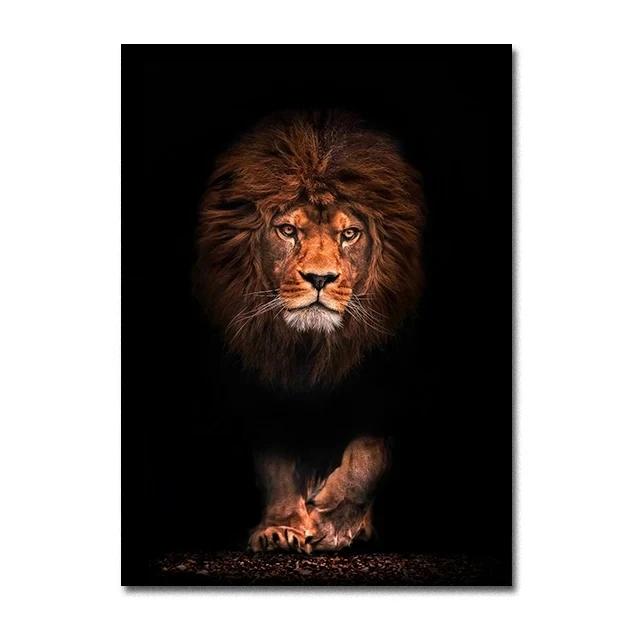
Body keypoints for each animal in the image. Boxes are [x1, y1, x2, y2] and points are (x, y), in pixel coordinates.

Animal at [195, 111, 424, 552]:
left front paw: (334, 523)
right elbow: (275, 464)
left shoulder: (391, 381)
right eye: (288, 230)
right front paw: (281, 527)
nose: (320, 278)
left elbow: (368, 454)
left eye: (349, 234)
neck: (311, 349)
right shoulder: (260, 383)